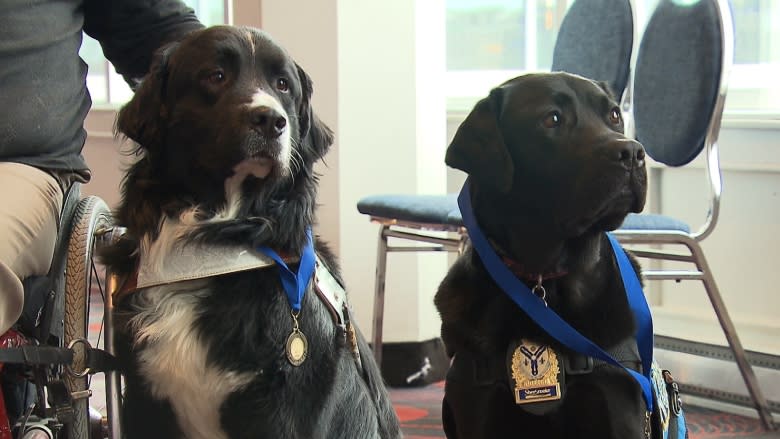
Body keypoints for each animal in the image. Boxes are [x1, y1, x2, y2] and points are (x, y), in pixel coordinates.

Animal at [100, 26, 400, 439]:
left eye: (282, 85)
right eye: (216, 75)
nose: (271, 120)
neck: (217, 240)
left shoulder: (284, 409)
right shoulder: (144, 403)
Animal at [436, 73, 648, 439]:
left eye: (614, 116)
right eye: (552, 119)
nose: (633, 153)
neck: (544, 277)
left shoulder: (617, 404)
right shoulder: (479, 409)